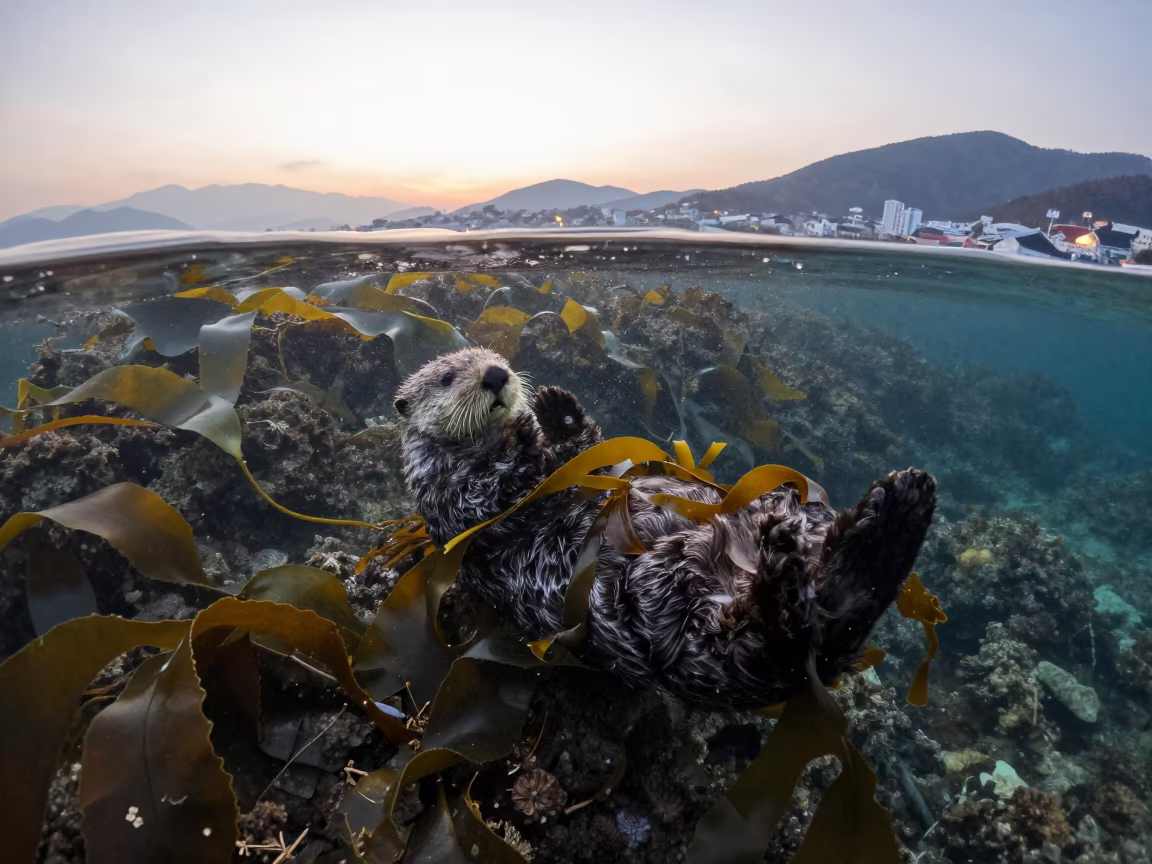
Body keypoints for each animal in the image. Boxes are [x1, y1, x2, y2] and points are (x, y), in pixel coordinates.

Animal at [394, 347, 937, 707]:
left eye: (496, 356)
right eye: (446, 377)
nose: (496, 374)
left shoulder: (584, 464)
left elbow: (588, 451)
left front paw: (556, 410)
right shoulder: (450, 504)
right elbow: (492, 498)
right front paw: (522, 433)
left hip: (780, 514)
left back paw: (897, 507)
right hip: (682, 608)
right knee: (788, 626)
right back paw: (820, 547)